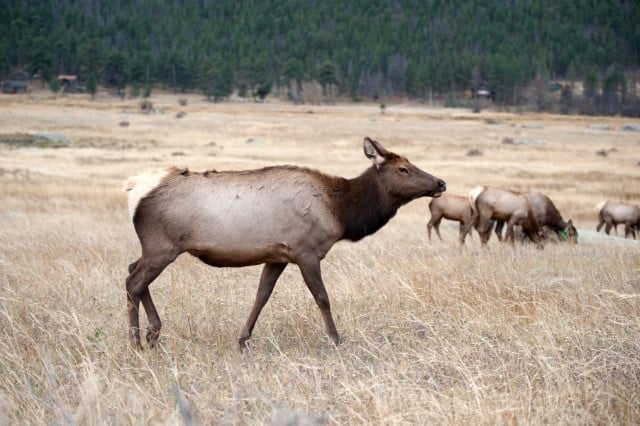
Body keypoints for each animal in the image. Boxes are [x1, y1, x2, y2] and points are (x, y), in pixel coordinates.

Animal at [124, 137, 444, 350]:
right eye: (403, 169)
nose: (441, 182)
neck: (341, 213)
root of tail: (134, 187)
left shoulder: (277, 256)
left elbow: (261, 296)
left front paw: (243, 340)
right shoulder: (306, 251)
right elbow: (322, 297)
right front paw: (335, 339)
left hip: (155, 248)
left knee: (131, 270)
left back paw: (153, 333)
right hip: (162, 246)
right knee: (133, 282)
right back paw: (137, 342)